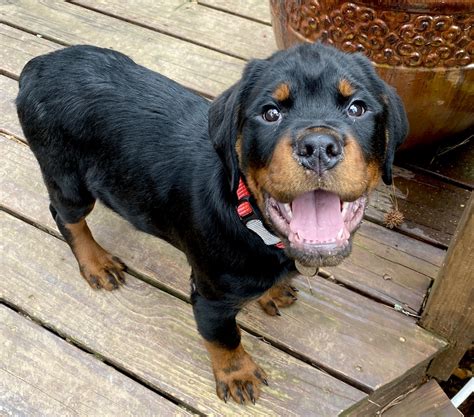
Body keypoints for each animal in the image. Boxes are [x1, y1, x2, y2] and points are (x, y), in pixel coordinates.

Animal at [14, 43, 408, 404]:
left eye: (357, 108)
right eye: (270, 113)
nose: (319, 147)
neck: (250, 218)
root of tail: (36, 67)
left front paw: (273, 290)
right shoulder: (210, 297)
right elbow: (223, 338)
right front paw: (238, 375)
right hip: (67, 178)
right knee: (64, 217)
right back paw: (96, 263)